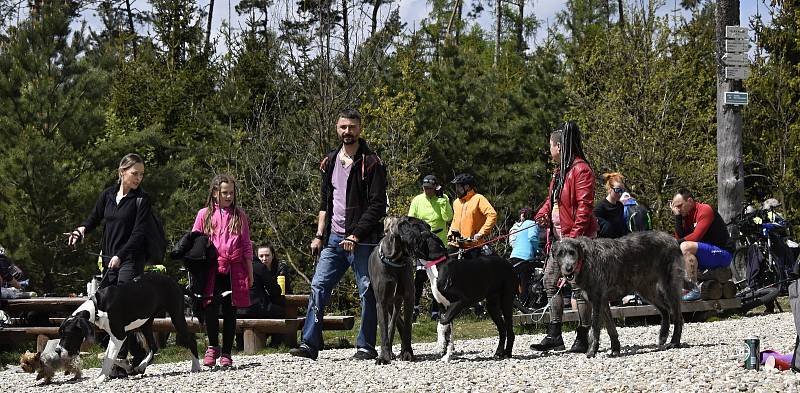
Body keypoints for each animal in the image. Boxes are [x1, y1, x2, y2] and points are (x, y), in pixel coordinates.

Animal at [56, 272, 200, 382]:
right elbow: (107, 356)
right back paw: (141, 365)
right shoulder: (119, 335)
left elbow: (108, 357)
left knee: (191, 340)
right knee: (153, 347)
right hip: (146, 324)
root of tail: (176, 283)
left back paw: (196, 366)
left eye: (67, 334)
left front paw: (100, 378)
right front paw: (127, 366)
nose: (57, 350)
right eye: (60, 333)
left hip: (177, 318)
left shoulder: (119, 336)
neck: (98, 306)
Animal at [552, 231, 692, 356]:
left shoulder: (597, 300)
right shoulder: (603, 302)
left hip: (670, 287)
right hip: (646, 291)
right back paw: (663, 336)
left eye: (572, 252)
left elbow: (595, 328)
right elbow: (611, 328)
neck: (584, 260)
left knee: (678, 316)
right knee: (665, 310)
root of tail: (673, 239)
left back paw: (674, 342)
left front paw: (592, 351)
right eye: (560, 254)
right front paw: (615, 349)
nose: (568, 268)